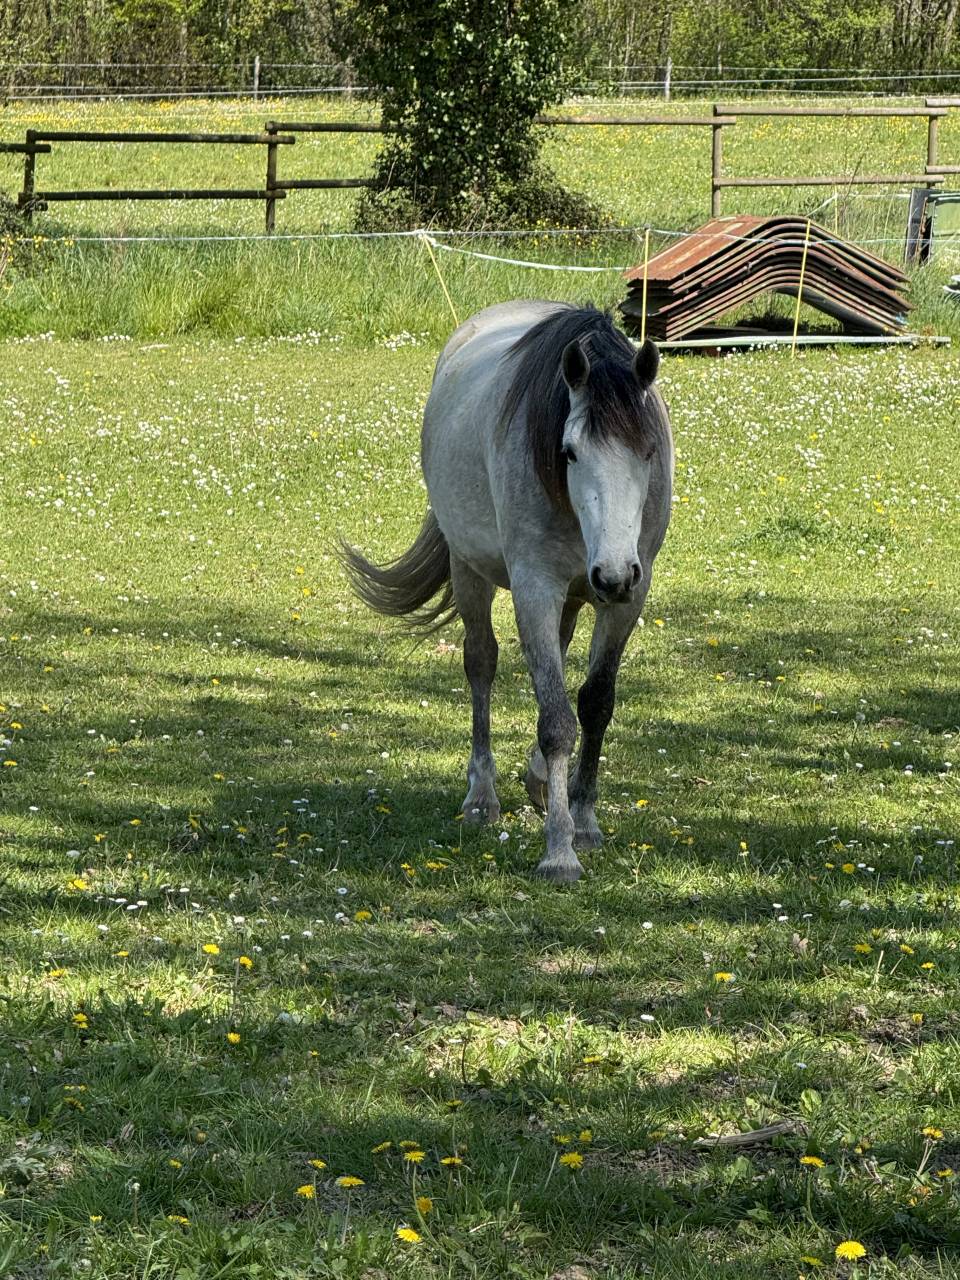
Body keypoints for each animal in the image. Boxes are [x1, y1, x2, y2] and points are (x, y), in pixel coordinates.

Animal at [341, 301, 674, 883]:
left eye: (648, 450)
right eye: (569, 452)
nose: (611, 574)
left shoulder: (630, 595)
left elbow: (595, 704)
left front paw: (584, 822)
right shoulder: (535, 588)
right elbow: (556, 721)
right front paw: (559, 850)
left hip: (575, 595)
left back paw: (539, 783)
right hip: (472, 570)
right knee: (481, 663)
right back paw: (482, 795)